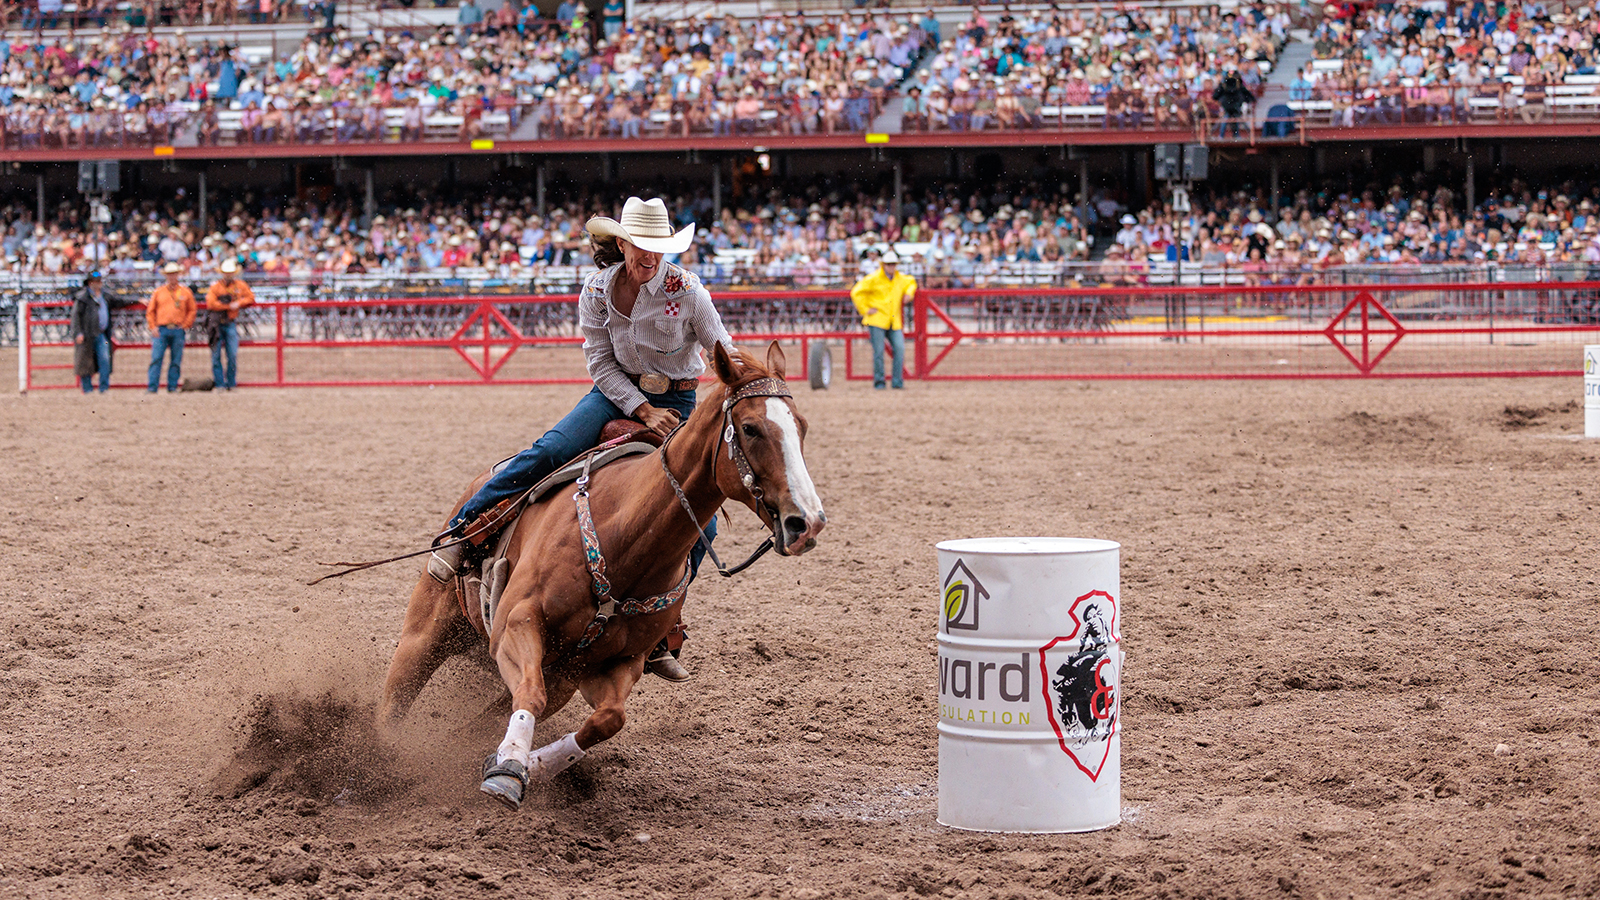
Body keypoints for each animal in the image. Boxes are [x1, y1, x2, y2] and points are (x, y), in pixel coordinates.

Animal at [376, 342, 825, 807]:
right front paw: (507, 771)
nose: (807, 522)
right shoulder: (516, 623)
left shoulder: (599, 668)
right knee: (396, 702)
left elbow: (607, 719)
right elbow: (531, 695)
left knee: (496, 712)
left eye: (802, 427)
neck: (624, 537)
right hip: (426, 631)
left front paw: (527, 764)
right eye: (751, 428)